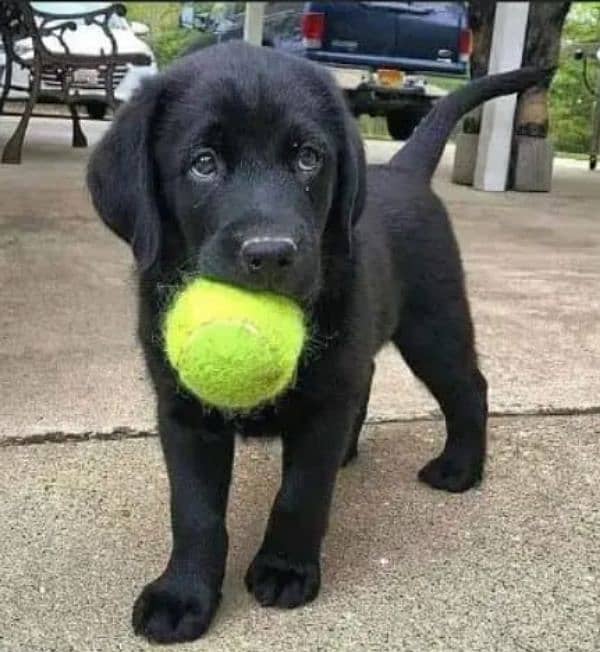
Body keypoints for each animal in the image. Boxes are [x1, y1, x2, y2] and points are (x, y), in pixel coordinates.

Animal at [88, 42, 544, 640]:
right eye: (203, 163)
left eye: (308, 158)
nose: (271, 253)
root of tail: (403, 170)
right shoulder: (183, 411)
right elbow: (194, 512)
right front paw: (183, 594)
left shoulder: (324, 401)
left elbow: (301, 492)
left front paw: (285, 569)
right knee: (371, 377)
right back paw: (352, 450)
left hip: (433, 324)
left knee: (469, 388)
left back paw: (460, 467)